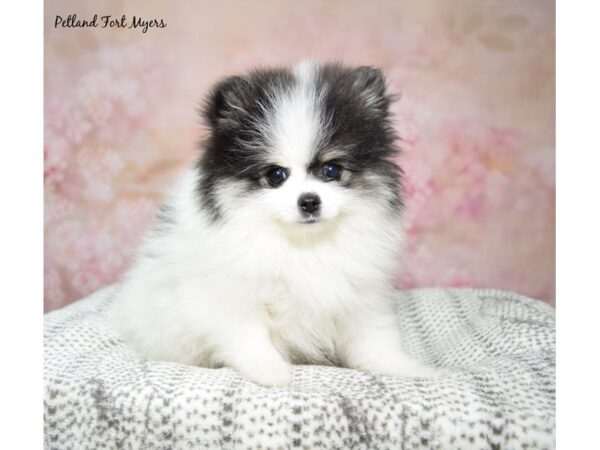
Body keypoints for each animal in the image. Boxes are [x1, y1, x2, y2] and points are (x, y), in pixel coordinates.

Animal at [112, 60, 438, 386]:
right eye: (275, 175)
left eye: (331, 170)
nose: (309, 201)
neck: (304, 244)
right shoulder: (234, 297)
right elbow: (250, 338)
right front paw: (271, 371)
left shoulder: (361, 294)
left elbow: (375, 340)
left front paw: (408, 368)